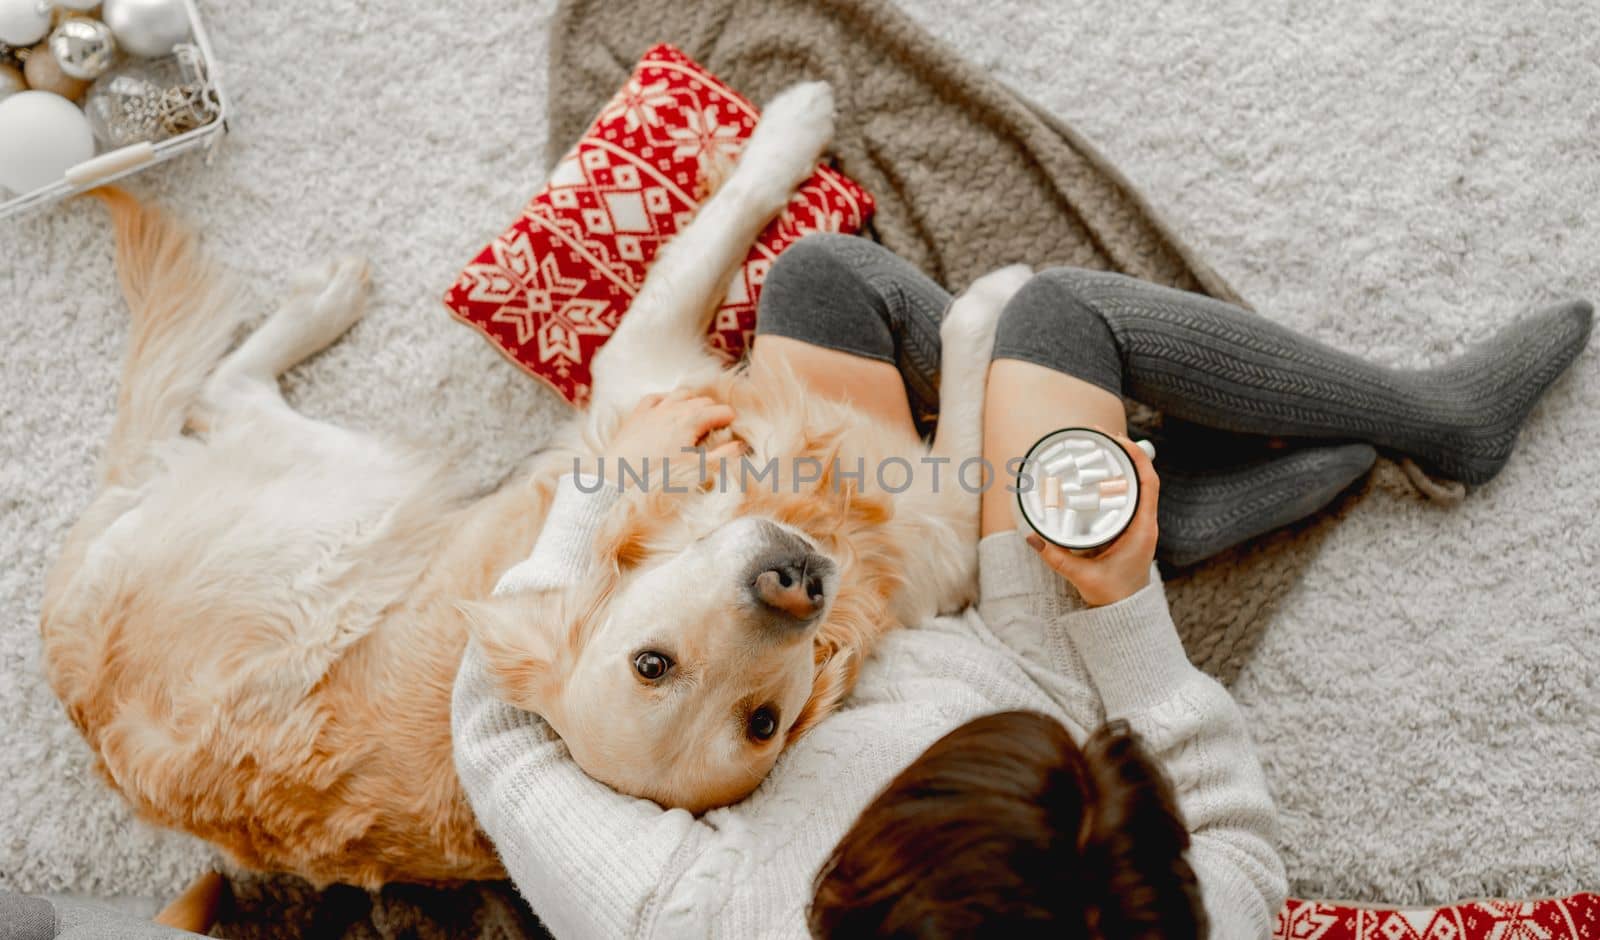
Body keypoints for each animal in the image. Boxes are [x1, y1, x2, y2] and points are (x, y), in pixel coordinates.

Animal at [40, 82, 1024, 888]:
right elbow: (746, 222)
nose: (794, 583)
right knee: (224, 392)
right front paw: (803, 130)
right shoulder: (650, 366)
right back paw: (324, 303)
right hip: (355, 493)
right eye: (654, 664)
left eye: (762, 722)